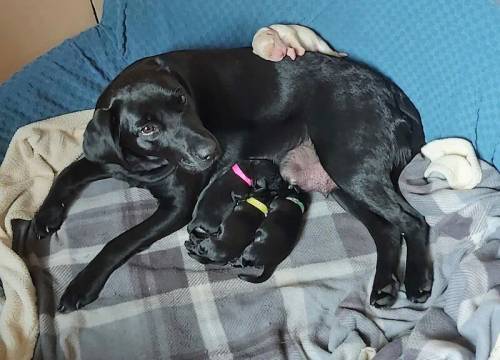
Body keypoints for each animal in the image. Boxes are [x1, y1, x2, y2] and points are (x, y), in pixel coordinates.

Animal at [31, 47, 432, 312]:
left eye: (182, 100)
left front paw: (82, 284)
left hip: (349, 167)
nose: (212, 151)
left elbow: (118, 241)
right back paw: (384, 287)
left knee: (414, 221)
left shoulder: (178, 207)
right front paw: (45, 216)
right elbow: (67, 172)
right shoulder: (107, 160)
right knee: (388, 229)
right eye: (147, 128)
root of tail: (393, 93)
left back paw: (417, 282)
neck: (145, 164)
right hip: (341, 182)